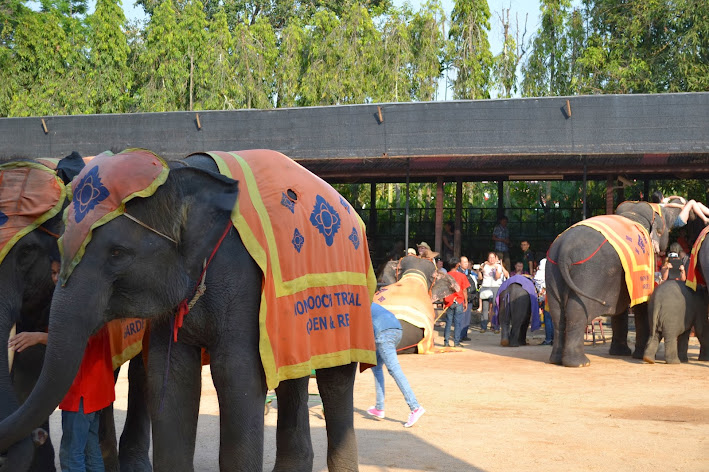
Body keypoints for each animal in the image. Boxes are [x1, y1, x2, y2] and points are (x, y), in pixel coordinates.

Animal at [544, 201, 684, 366]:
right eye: (666, 226)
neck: (633, 213)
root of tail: (564, 250)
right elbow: (642, 304)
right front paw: (638, 356)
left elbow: (620, 308)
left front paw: (620, 353)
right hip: (589, 274)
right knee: (577, 309)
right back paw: (580, 363)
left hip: (552, 269)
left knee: (556, 312)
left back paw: (556, 360)